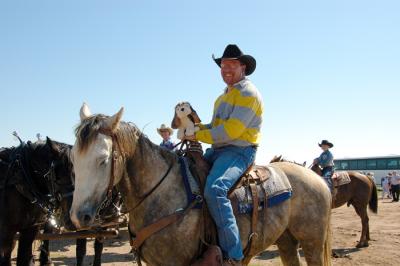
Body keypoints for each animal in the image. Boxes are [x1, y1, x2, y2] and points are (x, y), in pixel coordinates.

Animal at [70, 104, 332, 266]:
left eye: (103, 160)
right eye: (73, 159)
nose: (78, 217)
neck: (160, 194)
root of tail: (317, 179)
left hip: (312, 242)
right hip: (286, 240)